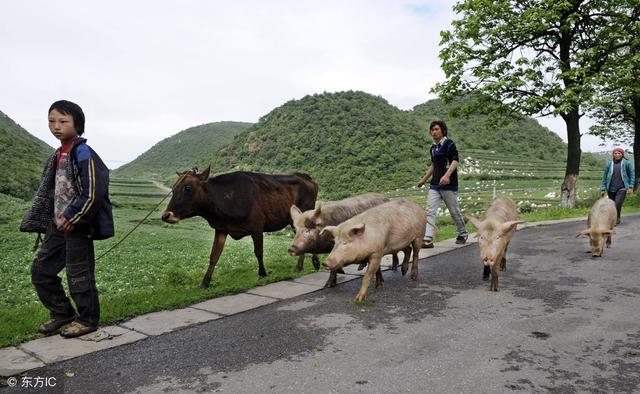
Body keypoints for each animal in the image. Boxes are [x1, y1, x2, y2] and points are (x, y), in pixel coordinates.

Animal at [162, 166, 318, 286]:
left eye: (187, 188)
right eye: (174, 188)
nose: (165, 215)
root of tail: (305, 176)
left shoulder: (257, 226)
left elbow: (258, 252)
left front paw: (262, 274)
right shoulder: (221, 228)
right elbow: (214, 256)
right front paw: (205, 282)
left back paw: (310, 263)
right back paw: (303, 266)